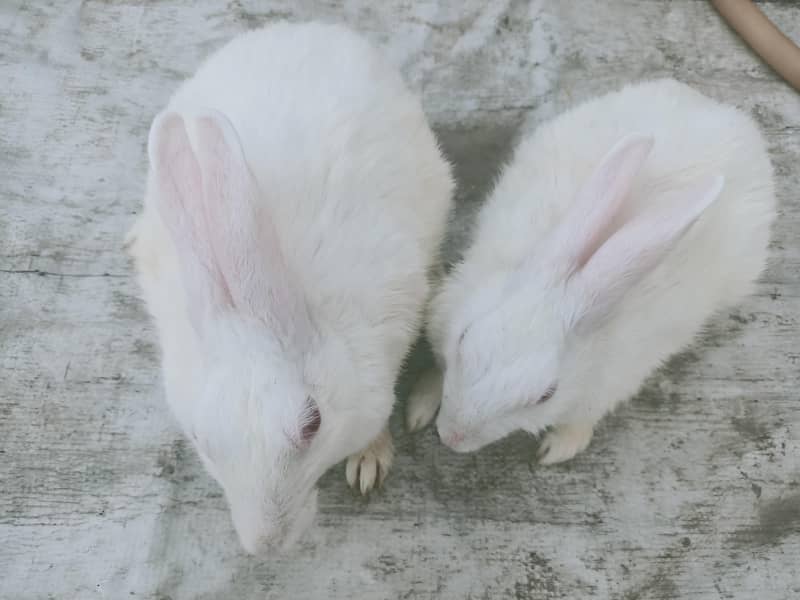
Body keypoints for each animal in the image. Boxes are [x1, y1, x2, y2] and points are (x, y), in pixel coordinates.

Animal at [406, 78, 775, 465]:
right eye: (464, 338)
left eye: (546, 395)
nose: (452, 437)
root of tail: (718, 110)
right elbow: (438, 369)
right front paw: (421, 406)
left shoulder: (611, 384)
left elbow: (581, 420)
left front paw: (555, 450)